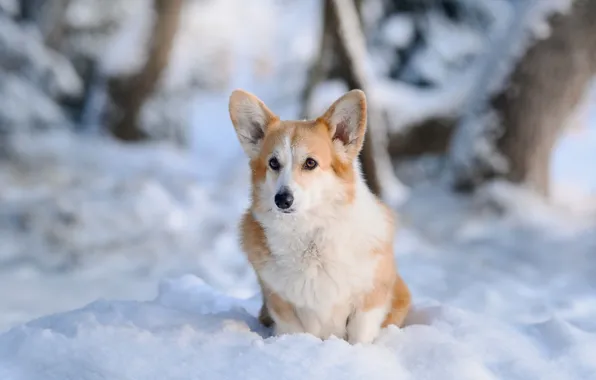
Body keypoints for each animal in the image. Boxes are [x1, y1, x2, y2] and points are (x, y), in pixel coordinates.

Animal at [228, 89, 410, 344]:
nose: (282, 199)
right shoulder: (281, 306)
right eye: (273, 163)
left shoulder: (370, 300)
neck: (309, 237)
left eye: (310, 163)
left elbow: (359, 334)